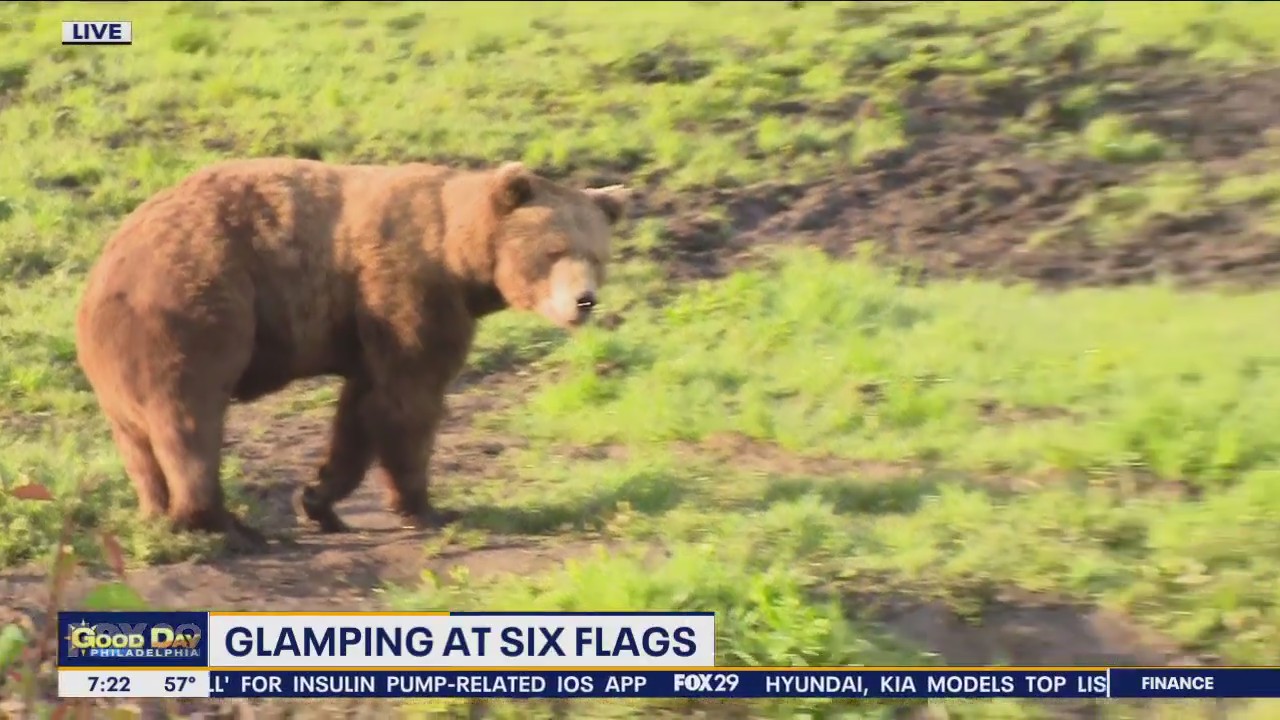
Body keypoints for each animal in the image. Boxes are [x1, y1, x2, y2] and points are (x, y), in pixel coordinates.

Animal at [74, 157, 630, 553]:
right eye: (554, 251)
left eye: (597, 256)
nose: (584, 301)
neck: (459, 256)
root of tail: (102, 272)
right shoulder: (407, 291)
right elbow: (408, 402)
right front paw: (427, 507)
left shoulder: (367, 326)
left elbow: (361, 411)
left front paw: (319, 499)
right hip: (192, 311)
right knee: (191, 423)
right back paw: (227, 527)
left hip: (122, 364)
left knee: (140, 443)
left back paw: (163, 512)